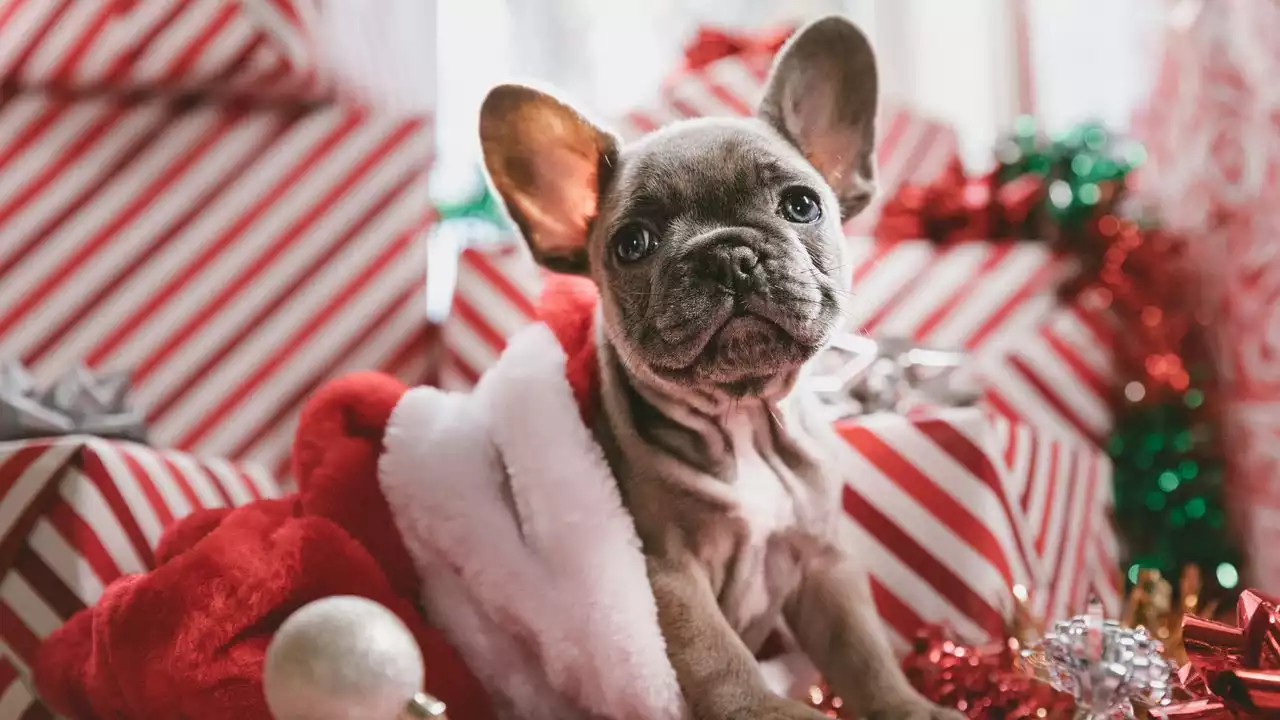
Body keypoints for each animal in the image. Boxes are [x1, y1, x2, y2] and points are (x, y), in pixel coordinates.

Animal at [478, 15, 962, 717]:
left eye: (801, 205)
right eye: (632, 244)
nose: (726, 255)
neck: (743, 418)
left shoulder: (823, 564)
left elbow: (864, 651)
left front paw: (910, 707)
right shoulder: (670, 577)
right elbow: (721, 662)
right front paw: (772, 711)